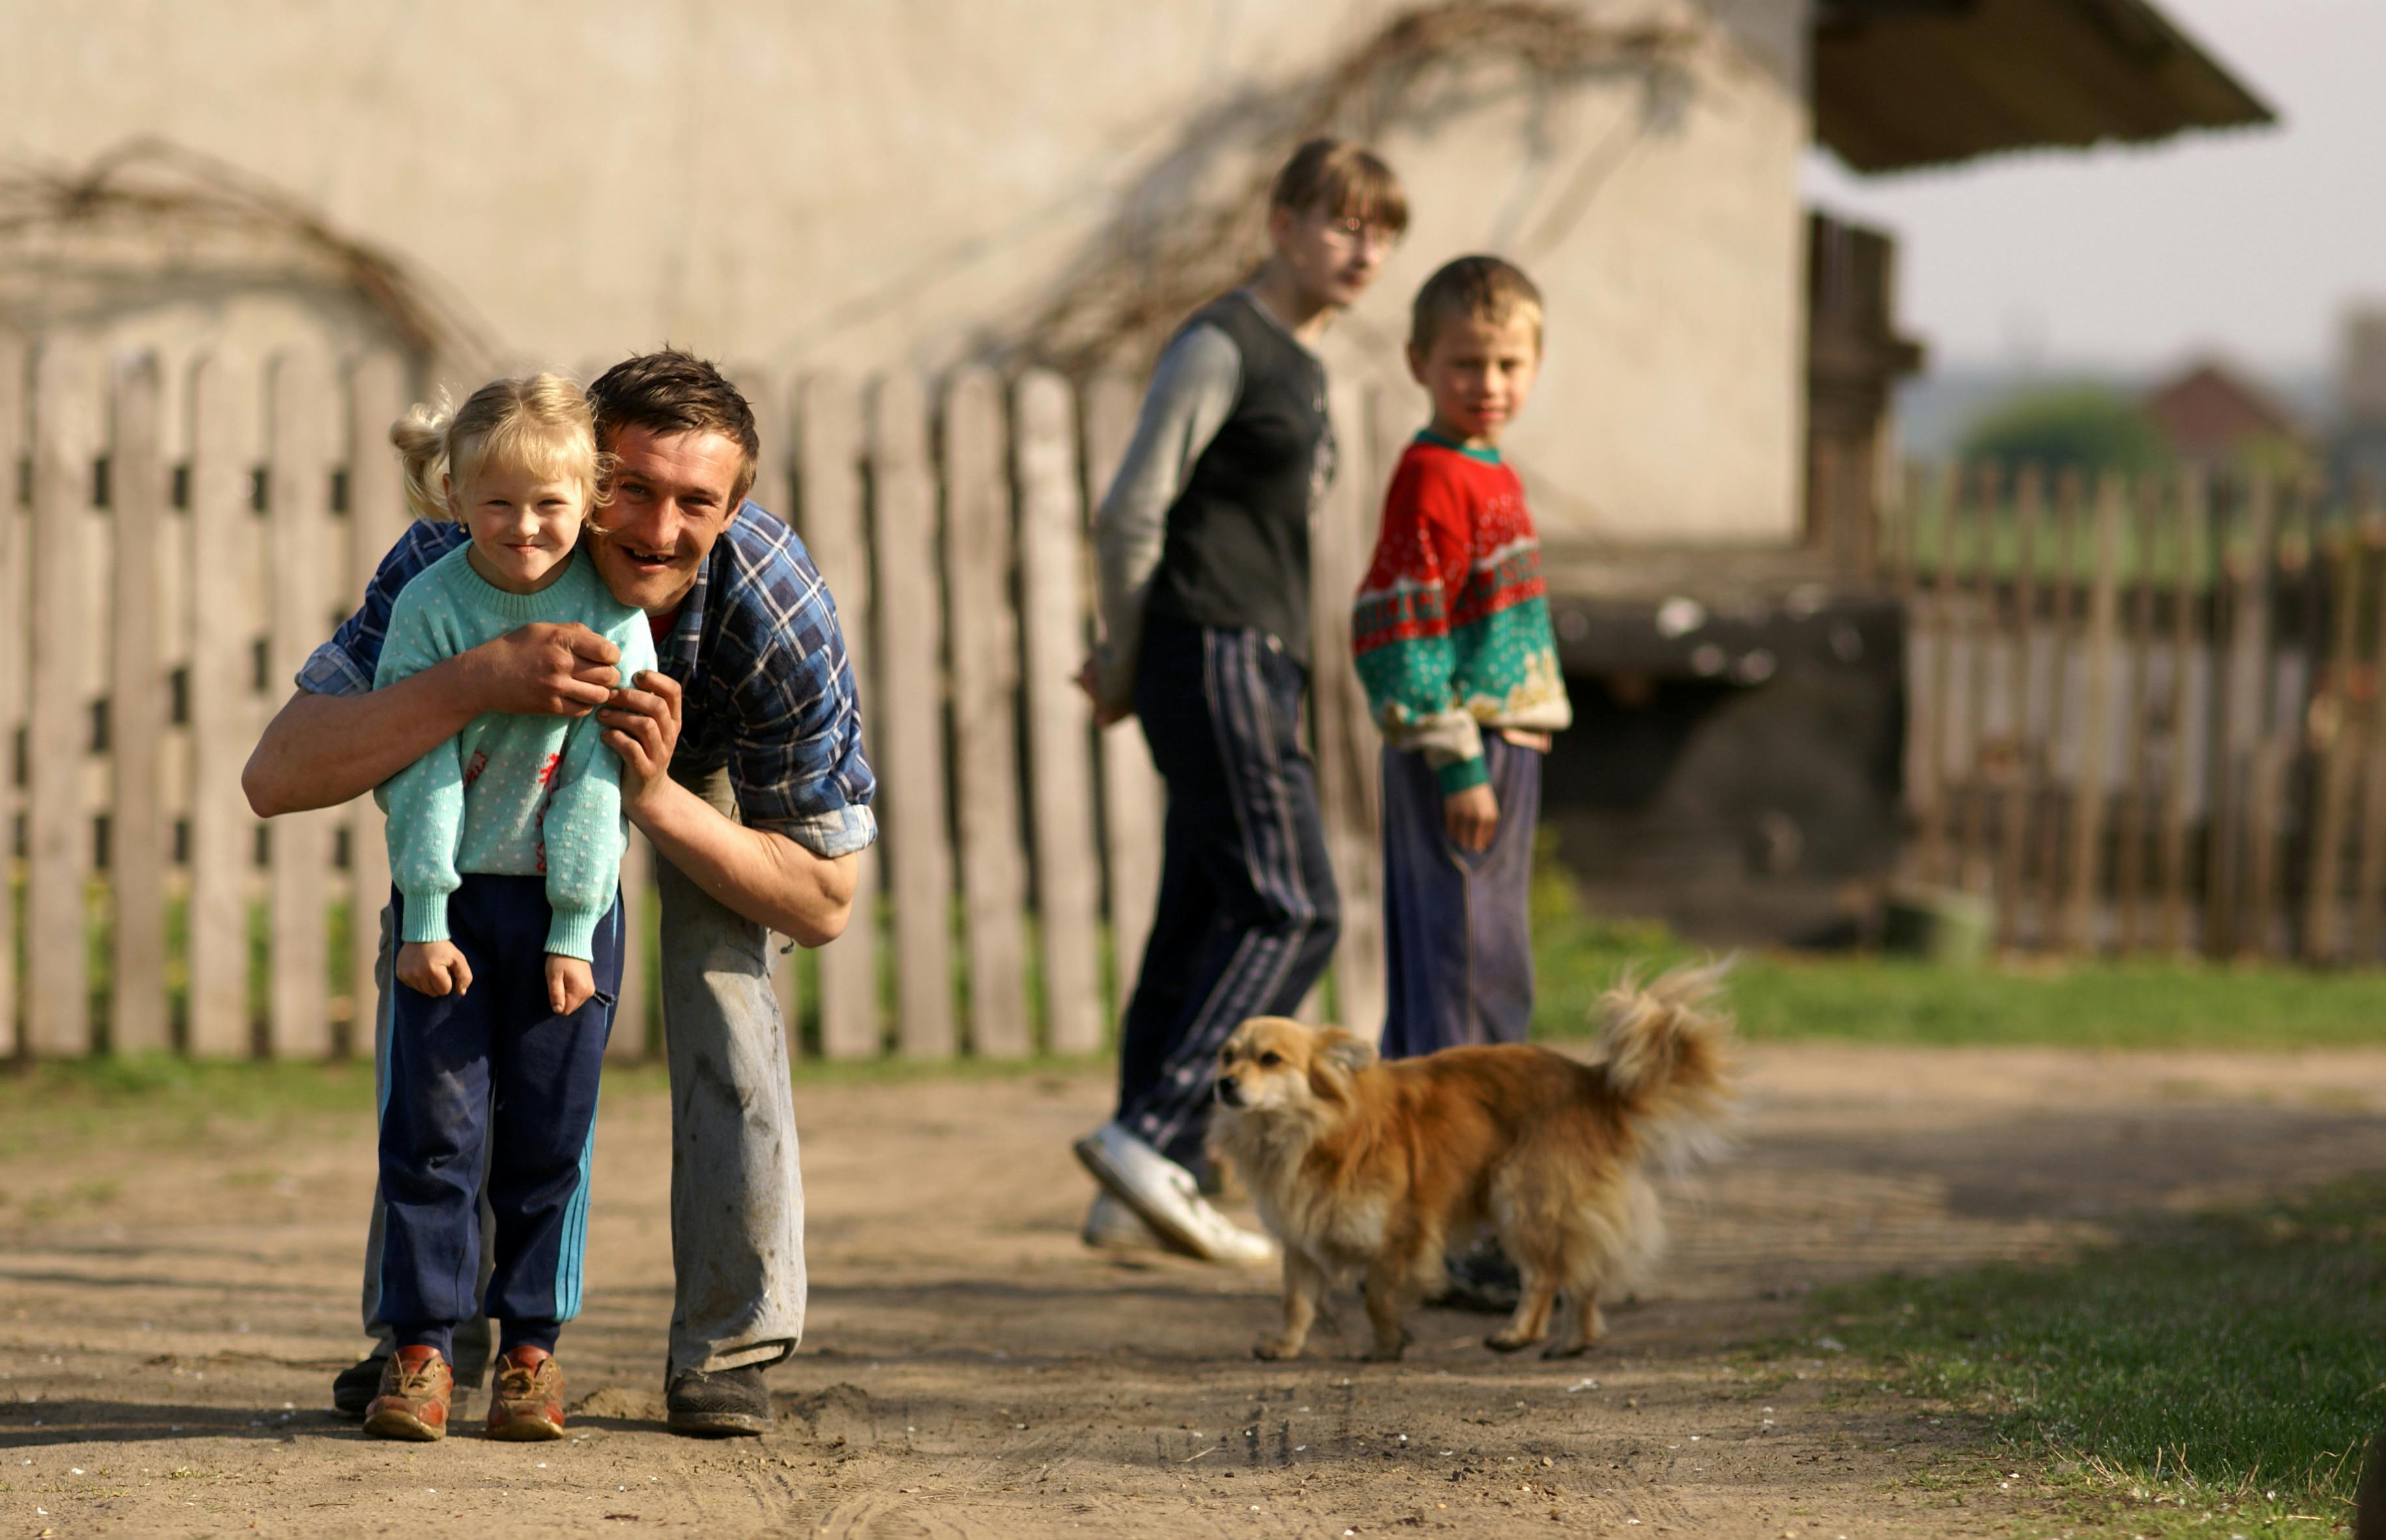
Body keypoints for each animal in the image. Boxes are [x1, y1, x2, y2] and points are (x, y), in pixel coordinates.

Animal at [1212, 963, 1736, 1363]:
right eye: (1226, 1056)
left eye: (1270, 1059)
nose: (1223, 1083)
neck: (1306, 1134)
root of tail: (1595, 1082)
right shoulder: (1301, 1240)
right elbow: (1296, 1302)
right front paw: (1285, 1347)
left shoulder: (1399, 1234)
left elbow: (1378, 1299)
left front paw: (1385, 1347)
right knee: (1574, 1274)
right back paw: (1560, 1340)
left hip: (1522, 1197)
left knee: (1550, 1275)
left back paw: (1537, 1337)